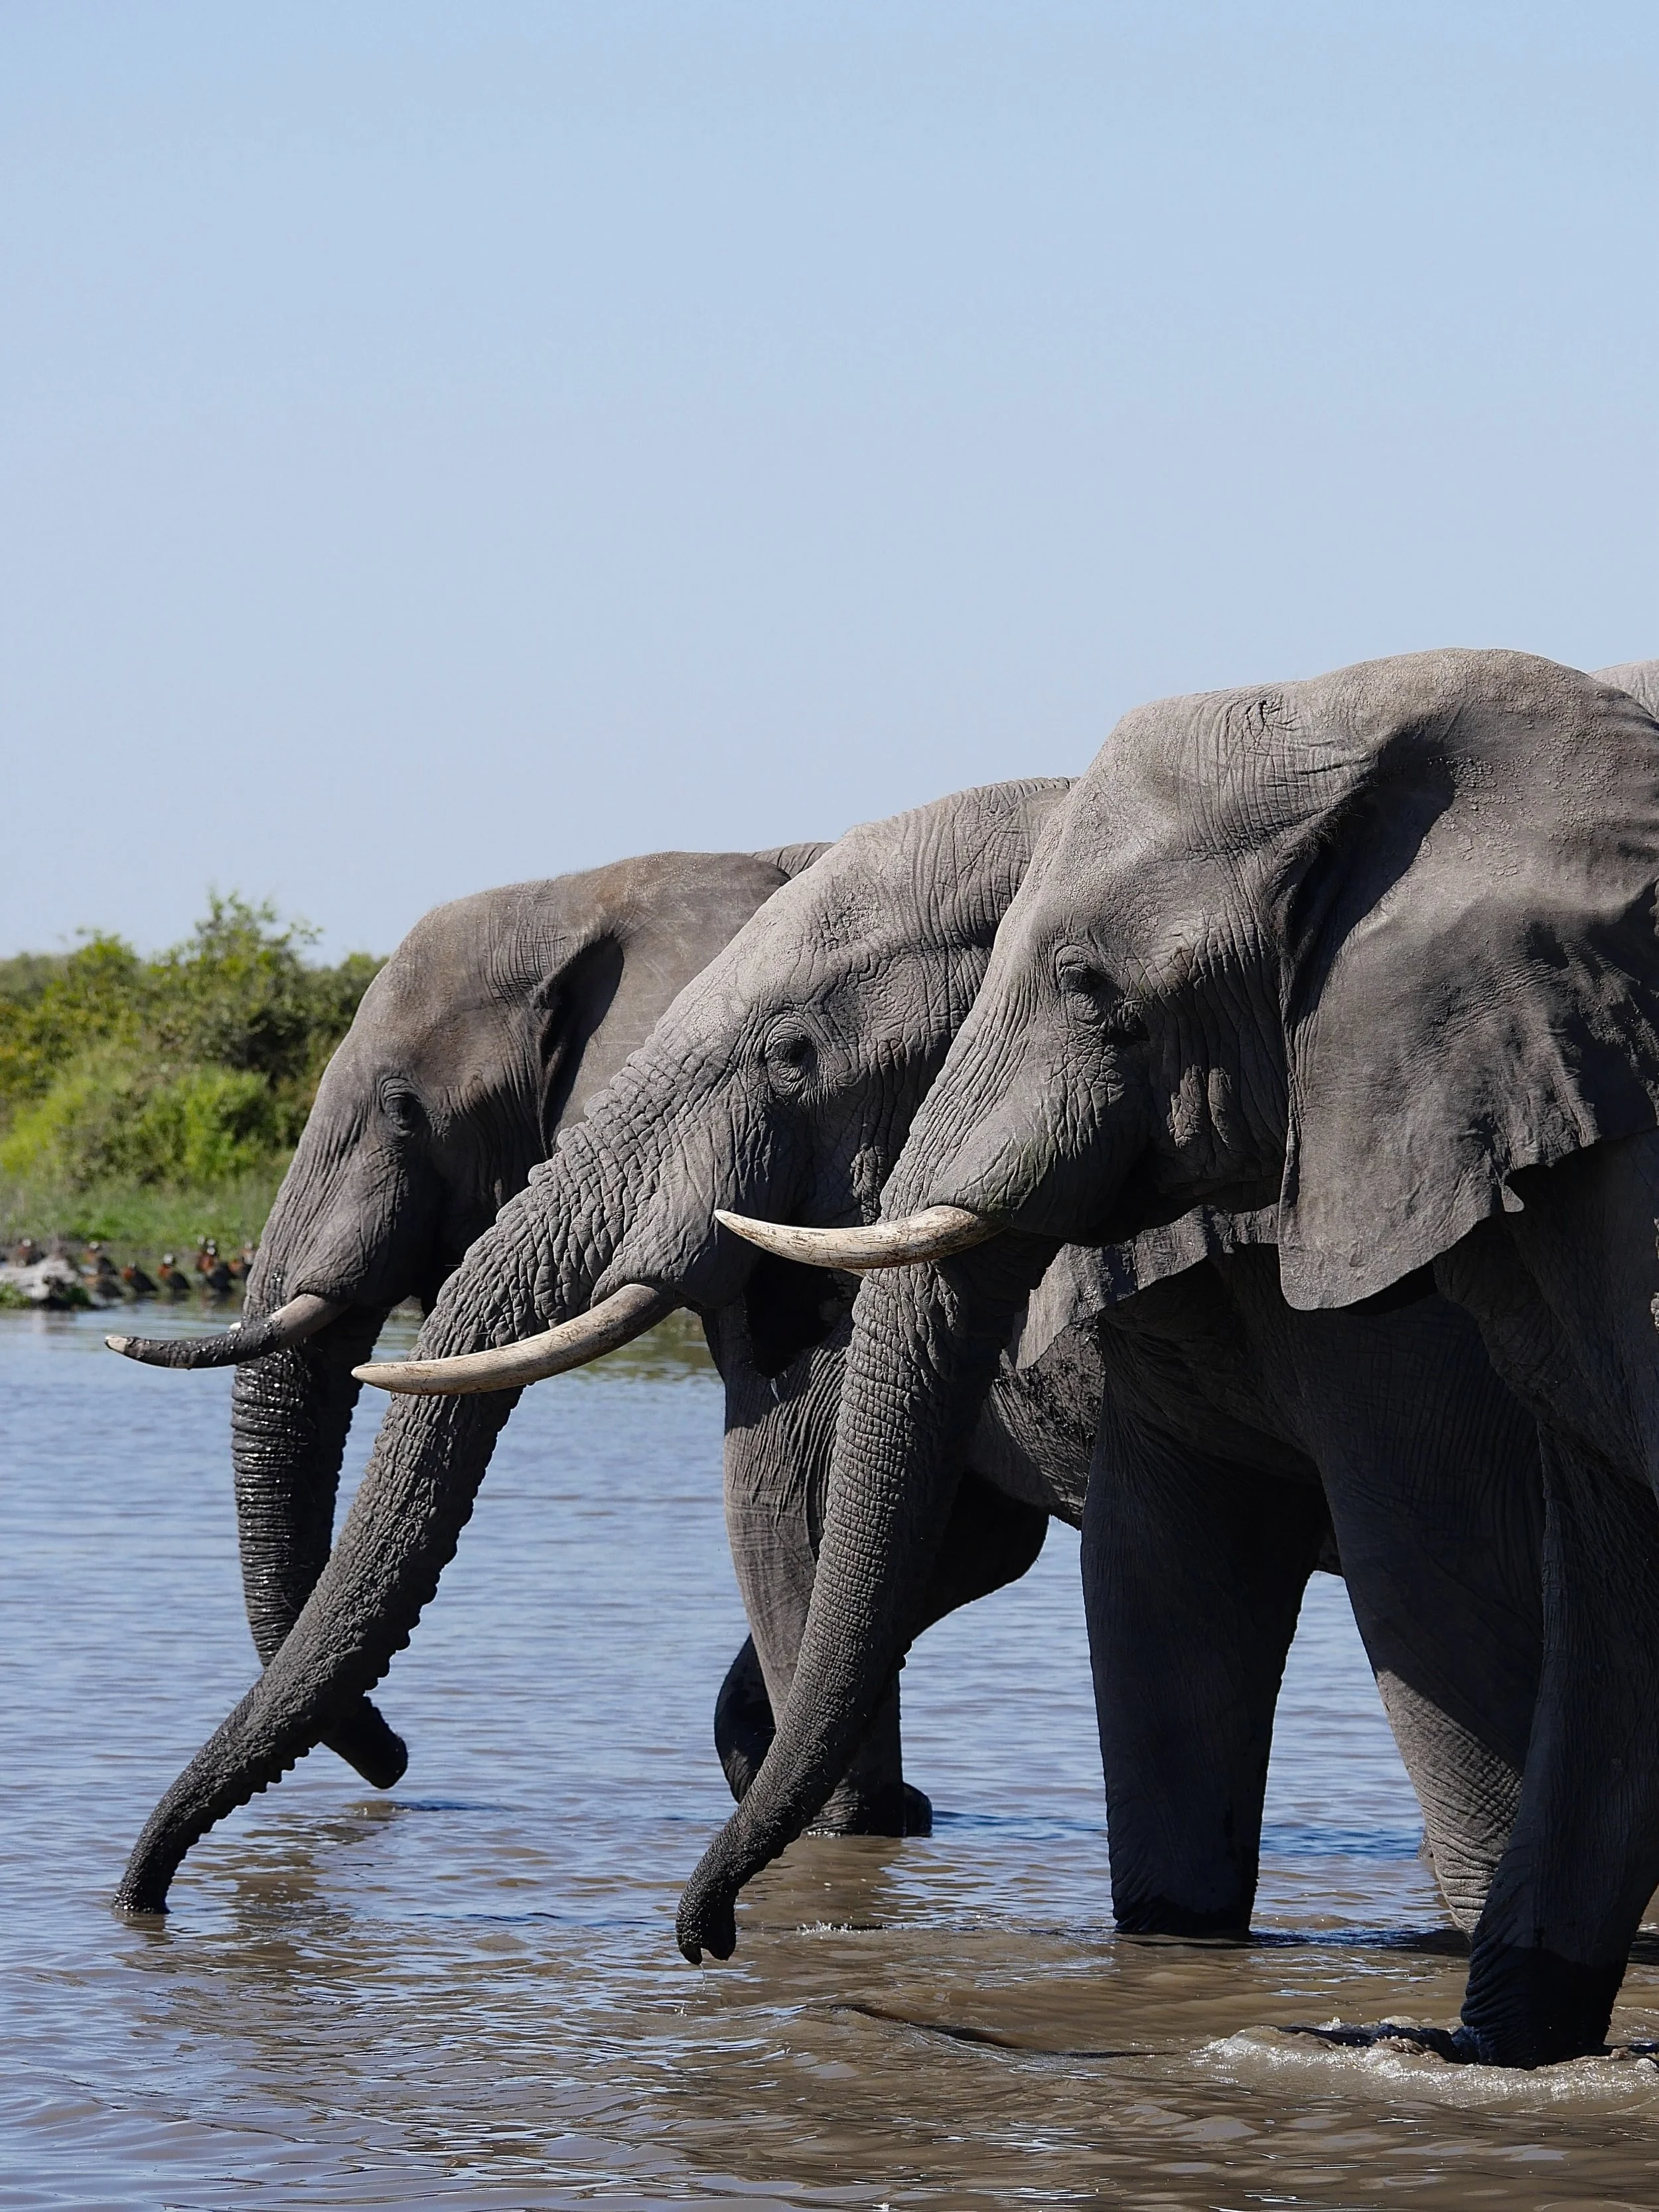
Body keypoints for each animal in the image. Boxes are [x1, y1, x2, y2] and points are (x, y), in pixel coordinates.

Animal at [110, 771, 1549, 1961]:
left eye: (405, 1112)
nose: (395, 1759)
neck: (612, 881)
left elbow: (781, 1501)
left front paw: (847, 1821)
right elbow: (906, 1537)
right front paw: (854, 1801)